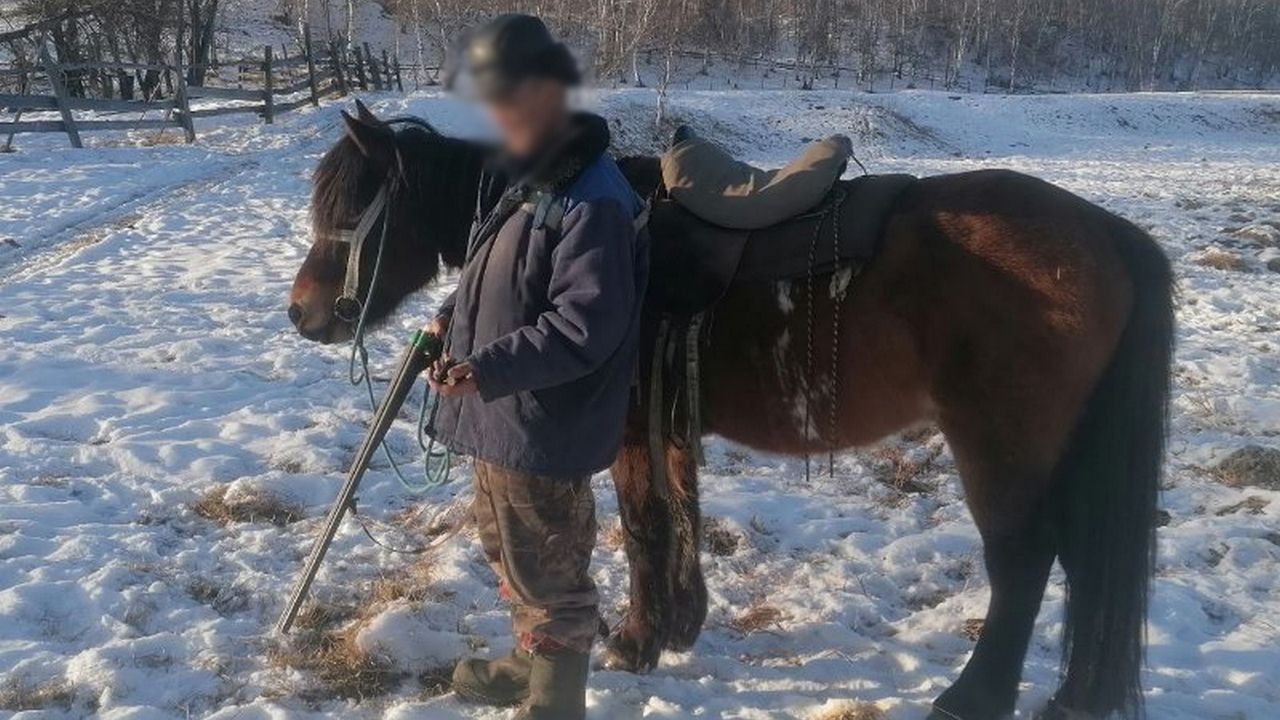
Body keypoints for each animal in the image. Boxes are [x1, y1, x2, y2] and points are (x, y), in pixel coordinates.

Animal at [290, 105, 1172, 717]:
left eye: (354, 209)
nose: (303, 315)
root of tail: (1107, 233)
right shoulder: (670, 428)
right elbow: (677, 517)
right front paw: (678, 627)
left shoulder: (630, 432)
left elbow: (645, 526)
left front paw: (637, 641)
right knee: (1079, 562)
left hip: (1000, 449)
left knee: (1023, 564)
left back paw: (972, 697)